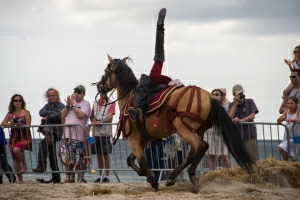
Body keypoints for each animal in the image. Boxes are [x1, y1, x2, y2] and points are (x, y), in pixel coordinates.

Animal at [94, 54, 255, 192]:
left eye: (106, 71)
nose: (99, 86)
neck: (129, 97)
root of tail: (210, 97)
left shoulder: (133, 139)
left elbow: (141, 160)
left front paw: (153, 181)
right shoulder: (143, 141)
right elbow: (130, 160)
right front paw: (146, 175)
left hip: (182, 128)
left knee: (201, 147)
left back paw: (189, 174)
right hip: (197, 130)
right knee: (193, 152)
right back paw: (173, 177)